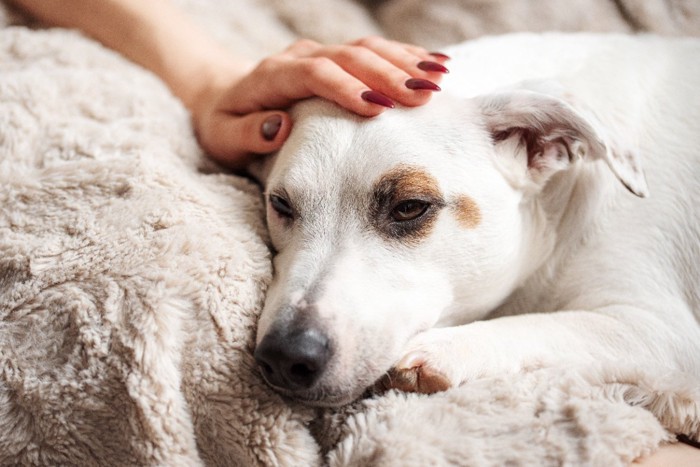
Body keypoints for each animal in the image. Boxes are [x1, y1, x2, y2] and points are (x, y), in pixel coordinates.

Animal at [254, 33, 700, 408]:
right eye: (280, 204)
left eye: (410, 206)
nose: (285, 355)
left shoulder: (663, 331)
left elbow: (550, 325)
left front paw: (446, 348)